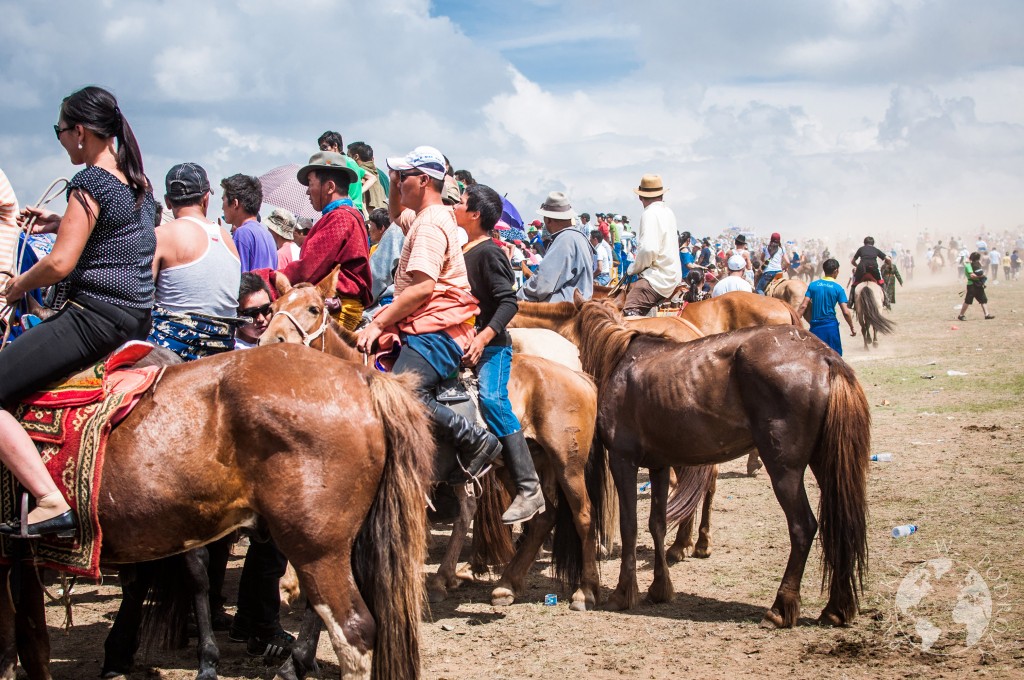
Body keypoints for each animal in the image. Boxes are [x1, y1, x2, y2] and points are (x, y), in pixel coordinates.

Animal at [260, 276, 602, 610]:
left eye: (314, 308)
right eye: (273, 307)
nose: (269, 343)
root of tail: (579, 375)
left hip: (568, 464)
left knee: (583, 515)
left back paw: (584, 591)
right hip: (522, 463)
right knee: (542, 516)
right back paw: (505, 584)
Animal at [573, 296, 868, 626]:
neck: (622, 361)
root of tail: (824, 357)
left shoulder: (623, 460)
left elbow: (629, 526)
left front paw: (624, 593)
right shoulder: (659, 464)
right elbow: (657, 524)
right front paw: (660, 588)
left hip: (785, 470)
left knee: (803, 527)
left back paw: (781, 607)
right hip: (826, 464)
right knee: (841, 524)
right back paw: (837, 608)